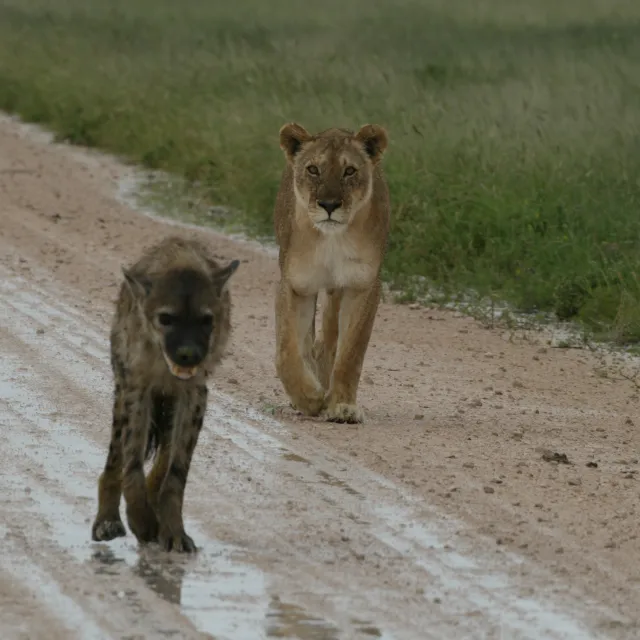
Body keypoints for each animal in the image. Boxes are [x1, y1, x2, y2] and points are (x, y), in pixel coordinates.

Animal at [272, 123, 388, 424]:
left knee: (328, 340)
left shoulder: (363, 285)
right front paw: (309, 398)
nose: (329, 204)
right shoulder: (295, 284)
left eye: (350, 171)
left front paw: (342, 406)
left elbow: (351, 352)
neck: (332, 240)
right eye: (313, 169)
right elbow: (287, 350)